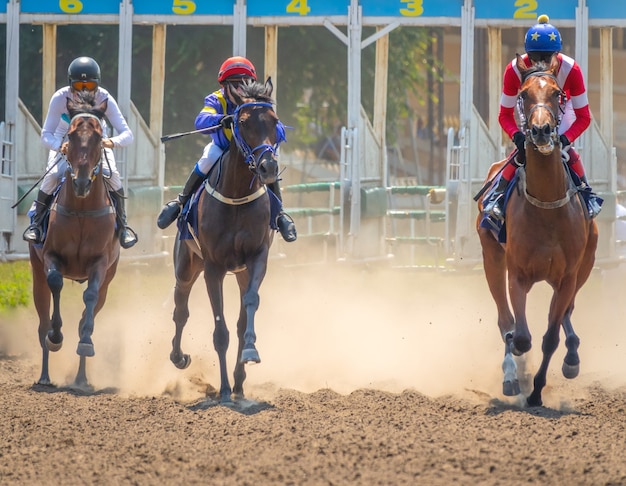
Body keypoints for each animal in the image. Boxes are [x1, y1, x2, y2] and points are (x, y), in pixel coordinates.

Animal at [28, 90, 119, 388]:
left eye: (100, 136)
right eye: (70, 134)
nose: (81, 182)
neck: (81, 209)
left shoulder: (101, 263)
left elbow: (89, 300)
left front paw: (86, 343)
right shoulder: (50, 257)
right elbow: (55, 283)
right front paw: (56, 337)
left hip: (109, 279)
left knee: (88, 312)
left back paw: (81, 378)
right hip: (36, 275)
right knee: (42, 322)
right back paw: (45, 375)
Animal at [168, 79, 280, 404]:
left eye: (275, 122)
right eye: (242, 123)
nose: (269, 168)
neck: (237, 196)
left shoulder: (256, 259)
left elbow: (248, 311)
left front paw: (248, 358)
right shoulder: (213, 268)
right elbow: (220, 332)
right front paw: (225, 390)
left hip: (239, 273)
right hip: (186, 266)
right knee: (180, 311)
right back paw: (179, 357)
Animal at [476, 55, 596, 408]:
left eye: (557, 93)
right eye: (524, 94)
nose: (542, 130)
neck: (546, 209)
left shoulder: (568, 276)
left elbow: (550, 337)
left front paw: (538, 391)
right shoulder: (517, 273)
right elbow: (521, 335)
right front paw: (519, 370)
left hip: (586, 265)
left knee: (567, 311)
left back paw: (571, 357)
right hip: (491, 258)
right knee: (505, 320)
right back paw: (511, 375)